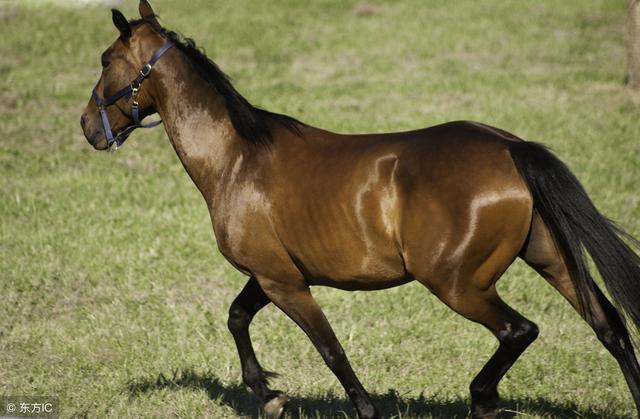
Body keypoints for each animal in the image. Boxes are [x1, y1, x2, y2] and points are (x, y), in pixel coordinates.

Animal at [81, 1, 640, 418]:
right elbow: (237, 318)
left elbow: (331, 351)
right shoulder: (271, 274)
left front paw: (345, 405)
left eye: (106, 60)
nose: (88, 127)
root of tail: (510, 147)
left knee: (520, 331)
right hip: (549, 258)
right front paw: (270, 396)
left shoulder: (285, 284)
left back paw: (482, 398)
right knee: (610, 326)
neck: (237, 158)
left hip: (458, 283)